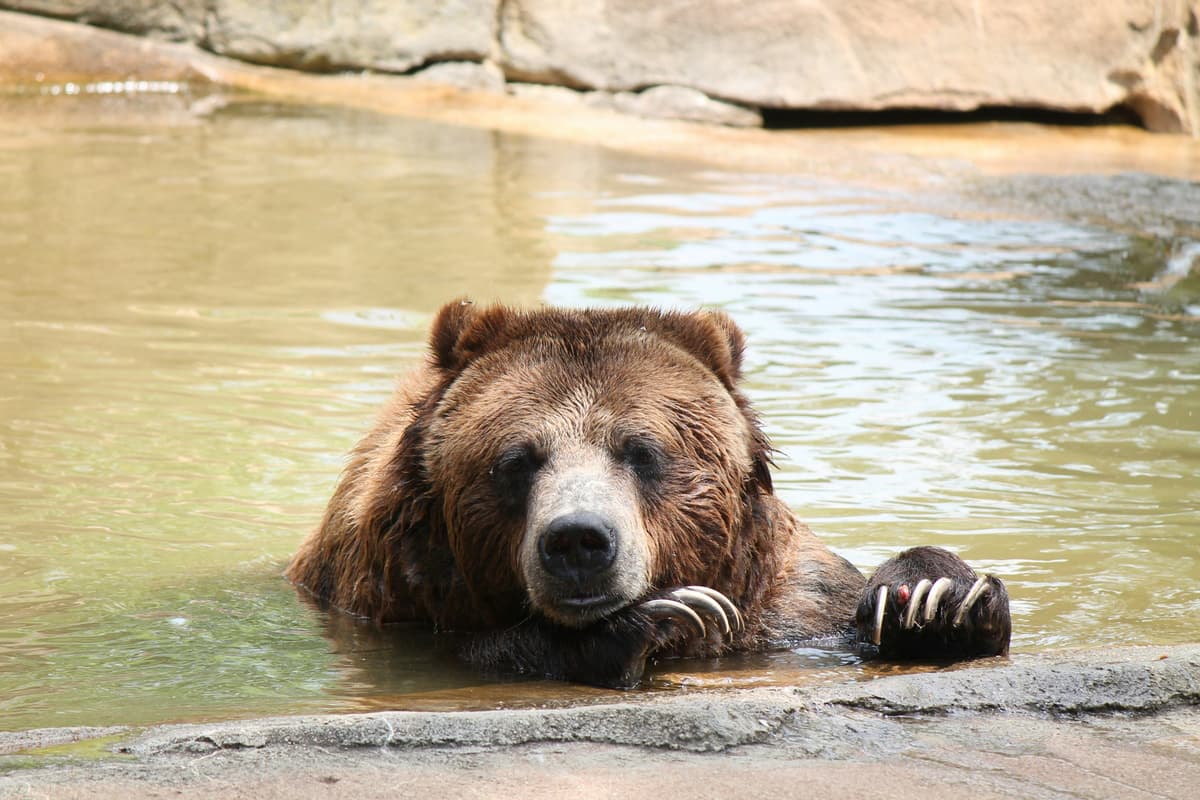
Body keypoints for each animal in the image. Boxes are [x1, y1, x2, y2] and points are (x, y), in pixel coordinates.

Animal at [290, 302, 1012, 690]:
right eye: (516, 461)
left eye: (641, 451)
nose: (578, 541)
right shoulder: (392, 599)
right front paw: (655, 617)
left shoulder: (790, 608)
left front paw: (934, 597)